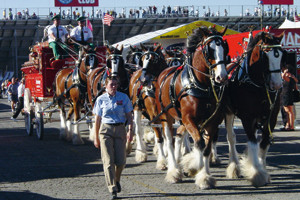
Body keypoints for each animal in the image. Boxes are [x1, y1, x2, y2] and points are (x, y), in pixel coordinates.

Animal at [155, 25, 227, 187]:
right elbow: (199, 143)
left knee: (179, 135)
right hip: (166, 116)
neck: (198, 84)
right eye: (210, 50)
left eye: (225, 48)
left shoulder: (211, 121)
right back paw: (173, 171)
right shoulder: (189, 119)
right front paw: (195, 167)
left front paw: (204, 177)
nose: (222, 77)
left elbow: (206, 148)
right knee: (169, 140)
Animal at [218, 30, 286, 187]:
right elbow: (253, 143)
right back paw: (234, 167)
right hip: (228, 112)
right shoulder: (248, 118)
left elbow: (264, 143)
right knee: (231, 138)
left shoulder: (272, 117)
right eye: (266, 55)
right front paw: (257, 173)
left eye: (281, 54)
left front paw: (262, 168)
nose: (277, 85)